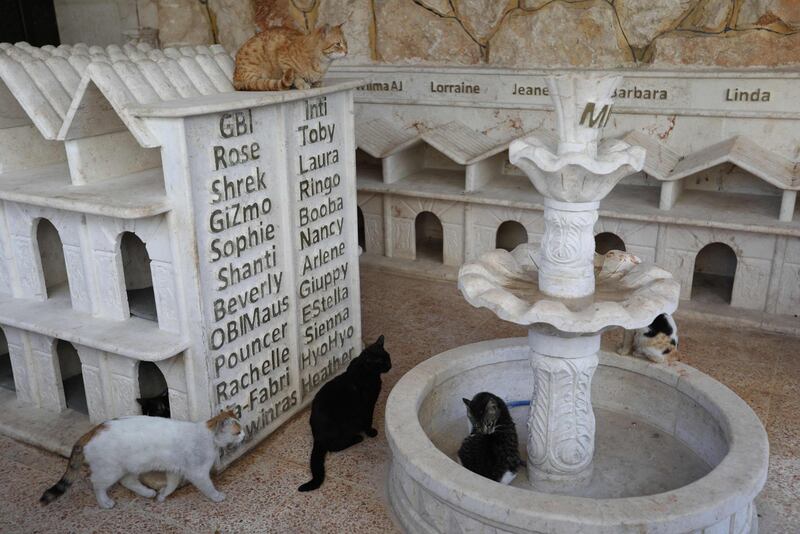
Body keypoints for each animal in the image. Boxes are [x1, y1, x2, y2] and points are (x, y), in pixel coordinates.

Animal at [39, 410, 244, 510]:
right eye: (237, 432)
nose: (244, 435)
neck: (208, 437)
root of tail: (92, 431)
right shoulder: (198, 472)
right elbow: (208, 486)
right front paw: (217, 496)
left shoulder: (174, 471)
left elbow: (171, 486)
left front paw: (162, 496)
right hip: (110, 470)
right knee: (97, 483)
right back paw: (104, 502)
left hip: (128, 467)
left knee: (128, 481)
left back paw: (148, 493)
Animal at [296, 336, 390, 494]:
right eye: (382, 362)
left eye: (388, 357)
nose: (390, 365)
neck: (365, 370)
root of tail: (317, 437)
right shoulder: (368, 405)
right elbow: (368, 420)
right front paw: (371, 432)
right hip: (346, 425)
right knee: (335, 446)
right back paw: (357, 438)